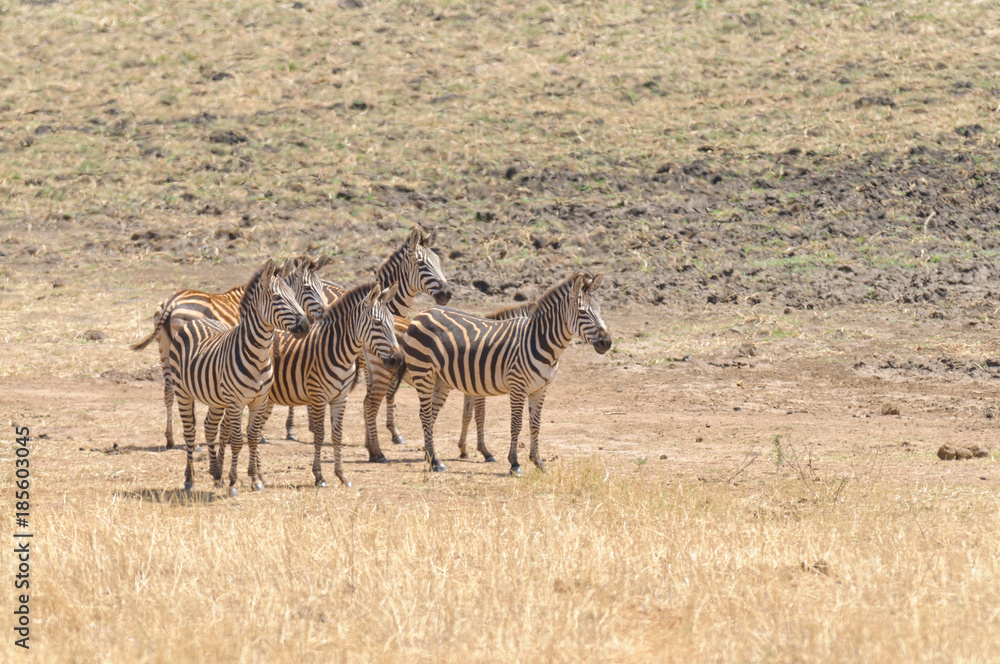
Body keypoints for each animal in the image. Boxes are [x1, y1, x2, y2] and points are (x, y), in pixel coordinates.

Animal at [131, 256, 328, 449]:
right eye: (308, 287)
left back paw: (170, 438)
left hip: (165, 349)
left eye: (321, 285)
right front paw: (287, 430)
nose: (325, 312)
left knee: (169, 391)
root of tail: (171, 301)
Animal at [167, 259, 311, 496]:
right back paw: (189, 479)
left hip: (216, 398)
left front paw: (255, 479)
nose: (305, 326)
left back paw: (216, 475)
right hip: (183, 392)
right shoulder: (236, 402)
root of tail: (194, 322)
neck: (259, 355)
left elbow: (252, 438)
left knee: (209, 427)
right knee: (190, 432)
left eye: (293, 295)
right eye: (277, 298)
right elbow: (236, 441)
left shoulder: (259, 401)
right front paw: (234, 482)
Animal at [259, 281, 402, 488]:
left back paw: (258, 477)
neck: (338, 350)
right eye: (377, 323)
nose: (397, 360)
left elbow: (337, 435)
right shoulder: (318, 397)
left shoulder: (341, 397)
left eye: (392, 322)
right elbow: (319, 435)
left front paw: (342, 476)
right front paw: (319, 476)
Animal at [284, 226, 452, 462]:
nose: (447, 293)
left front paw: (386, 436)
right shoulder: (369, 360)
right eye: (421, 264)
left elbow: (384, 395)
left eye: (438, 261)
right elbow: (377, 396)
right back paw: (290, 429)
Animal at [401, 273, 612, 476]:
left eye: (600, 309)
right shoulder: (517, 386)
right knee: (426, 414)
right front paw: (514, 464)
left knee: (429, 414)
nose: (607, 342)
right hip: (423, 373)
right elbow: (515, 424)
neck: (540, 340)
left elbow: (535, 425)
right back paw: (435, 462)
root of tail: (423, 312)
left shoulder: (540, 390)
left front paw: (538, 462)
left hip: (441, 379)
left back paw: (431, 457)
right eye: (582, 312)